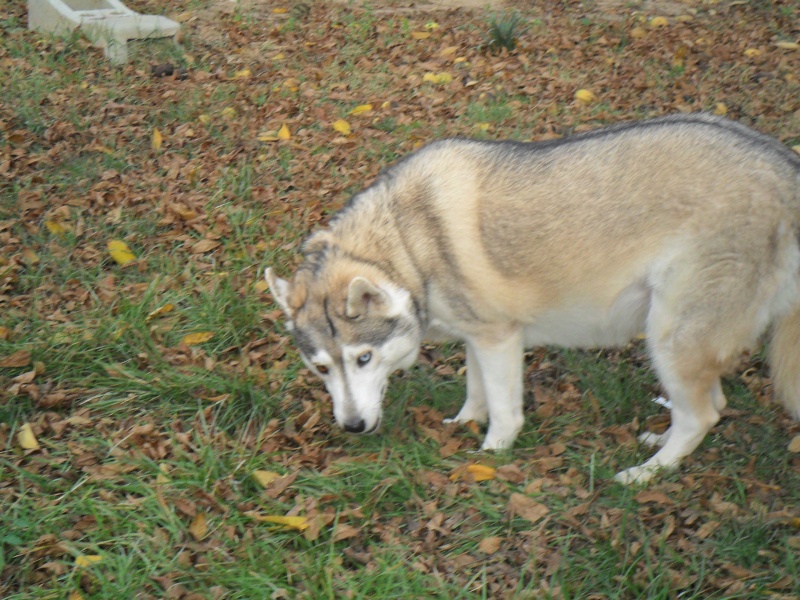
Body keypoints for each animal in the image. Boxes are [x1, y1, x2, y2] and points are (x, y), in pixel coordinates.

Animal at [268, 115, 800, 486]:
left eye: (363, 358)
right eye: (321, 368)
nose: (353, 426)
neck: (408, 243)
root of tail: (785, 164)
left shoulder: (500, 339)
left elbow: (505, 411)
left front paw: (490, 454)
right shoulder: (479, 338)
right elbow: (476, 392)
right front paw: (465, 424)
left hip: (668, 337)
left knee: (702, 415)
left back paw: (645, 473)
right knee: (709, 404)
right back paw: (659, 440)